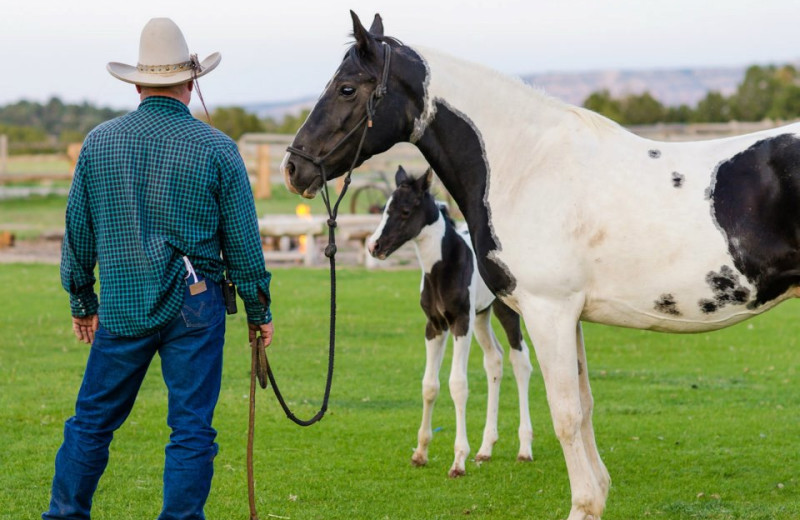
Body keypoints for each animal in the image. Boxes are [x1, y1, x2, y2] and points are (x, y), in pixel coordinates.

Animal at [368, 168, 532, 480]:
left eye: (405, 211)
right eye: (384, 209)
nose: (374, 246)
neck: (441, 269)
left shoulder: (460, 323)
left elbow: (458, 384)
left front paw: (458, 461)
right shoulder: (434, 326)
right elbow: (429, 385)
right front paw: (420, 453)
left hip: (504, 310)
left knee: (520, 361)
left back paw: (524, 448)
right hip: (481, 315)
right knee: (494, 360)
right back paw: (486, 448)